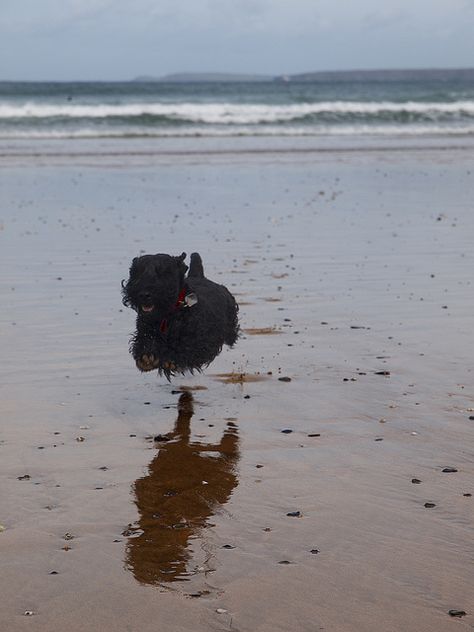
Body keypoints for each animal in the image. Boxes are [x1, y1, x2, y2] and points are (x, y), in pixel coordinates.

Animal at [121, 252, 237, 380]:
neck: (168, 316)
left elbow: (187, 346)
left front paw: (172, 359)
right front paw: (147, 357)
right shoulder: (145, 330)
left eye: (164, 272)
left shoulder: (200, 341)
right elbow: (145, 340)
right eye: (137, 272)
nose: (143, 294)